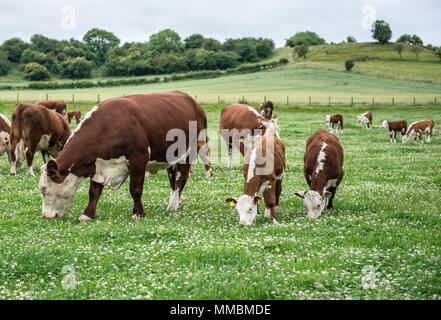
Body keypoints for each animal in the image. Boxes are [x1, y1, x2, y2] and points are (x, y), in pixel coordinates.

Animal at [37, 90, 212, 220]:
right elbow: (94, 192)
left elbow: (135, 189)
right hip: (170, 156)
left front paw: (138, 213)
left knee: (181, 179)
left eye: (43, 188)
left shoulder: (138, 160)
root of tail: (196, 104)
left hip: (189, 152)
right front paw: (87, 214)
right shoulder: (98, 165)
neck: (107, 127)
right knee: (173, 180)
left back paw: (173, 205)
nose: (45, 215)